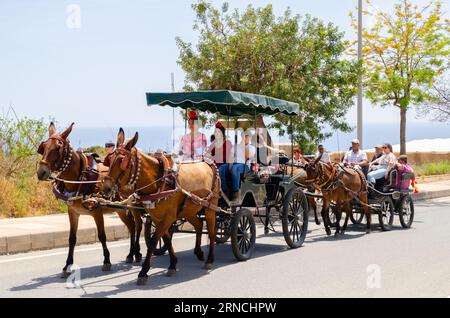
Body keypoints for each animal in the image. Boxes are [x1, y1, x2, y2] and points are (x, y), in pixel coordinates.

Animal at [36, 123, 142, 278]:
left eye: (57, 148)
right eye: (43, 147)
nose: (41, 172)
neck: (81, 178)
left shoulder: (97, 211)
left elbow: (102, 236)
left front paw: (107, 261)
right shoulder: (73, 212)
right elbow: (72, 239)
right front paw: (67, 266)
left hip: (134, 205)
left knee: (139, 225)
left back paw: (138, 253)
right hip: (120, 209)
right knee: (132, 226)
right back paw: (130, 254)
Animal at [103, 129, 220, 286]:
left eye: (122, 161)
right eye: (110, 159)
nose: (106, 188)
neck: (160, 181)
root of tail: (209, 163)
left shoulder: (168, 217)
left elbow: (153, 241)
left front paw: (143, 271)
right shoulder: (157, 217)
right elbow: (166, 239)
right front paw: (173, 264)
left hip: (210, 206)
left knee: (212, 231)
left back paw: (209, 259)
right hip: (190, 209)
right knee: (199, 225)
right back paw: (199, 252)